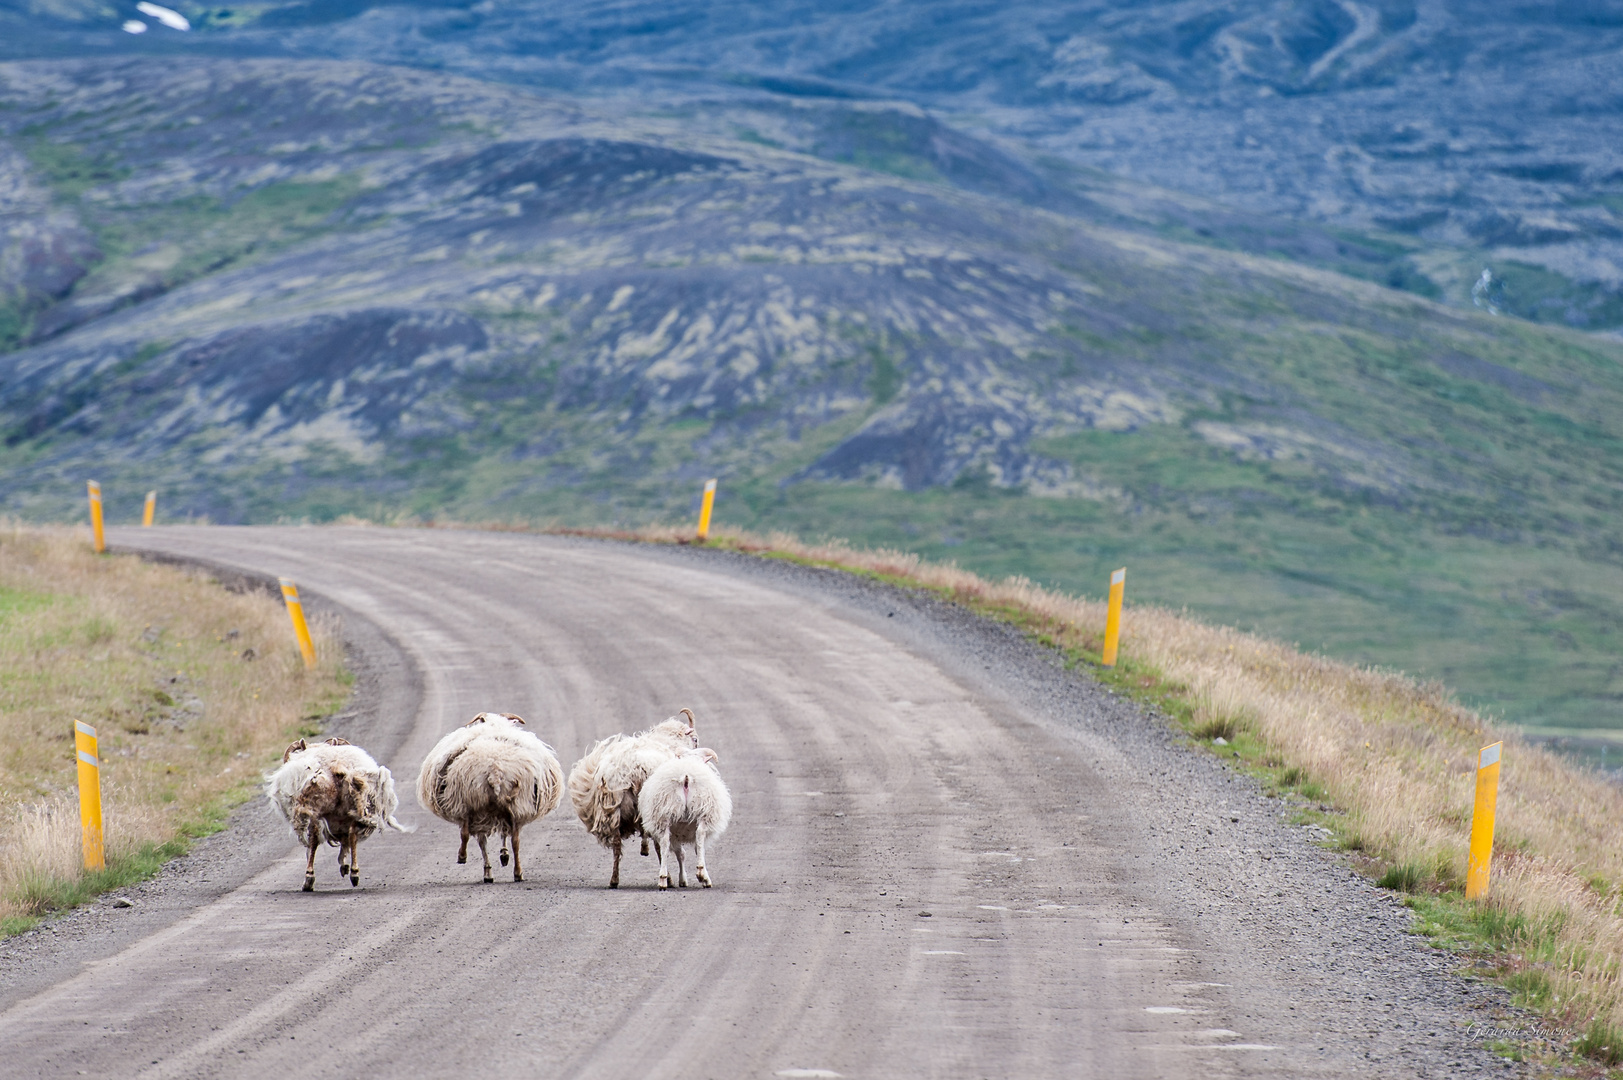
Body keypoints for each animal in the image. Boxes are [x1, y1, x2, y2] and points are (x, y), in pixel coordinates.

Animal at [264, 734, 405, 889]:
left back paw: (309, 878)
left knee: (314, 838)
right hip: (353, 808)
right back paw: (354, 872)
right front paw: (344, 865)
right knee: (352, 834)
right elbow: (345, 840)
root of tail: (337, 767)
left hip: (315, 809)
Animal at [418, 711, 564, 883]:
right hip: (510, 805)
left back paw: (467, 858)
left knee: (469, 833)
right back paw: (516, 872)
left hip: (471, 802)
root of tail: (495, 770)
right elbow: (503, 836)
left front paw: (500, 857)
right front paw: (503, 855)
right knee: (514, 841)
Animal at [564, 704, 697, 889]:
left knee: (616, 845)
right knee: (659, 844)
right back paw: (667, 879)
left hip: (612, 809)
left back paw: (614, 879)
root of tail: (635, 769)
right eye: (696, 740)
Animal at [636, 747, 733, 889]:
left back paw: (663, 878)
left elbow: (680, 854)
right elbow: (694, 850)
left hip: (662, 814)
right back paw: (702, 874)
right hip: (704, 811)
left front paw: (682, 879)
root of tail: (686, 778)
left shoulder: (675, 832)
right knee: (700, 837)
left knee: (664, 843)